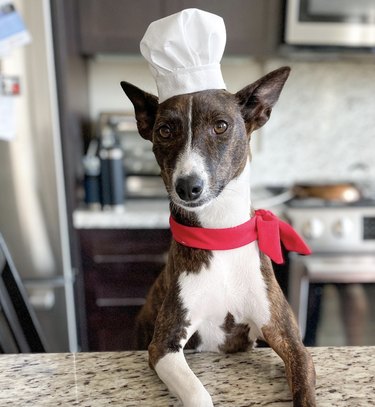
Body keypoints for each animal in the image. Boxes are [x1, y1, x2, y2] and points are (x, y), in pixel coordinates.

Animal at [121, 67, 318, 407]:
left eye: (221, 126)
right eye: (164, 131)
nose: (188, 186)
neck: (220, 234)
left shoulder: (288, 339)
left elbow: (303, 377)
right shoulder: (163, 346)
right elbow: (197, 392)